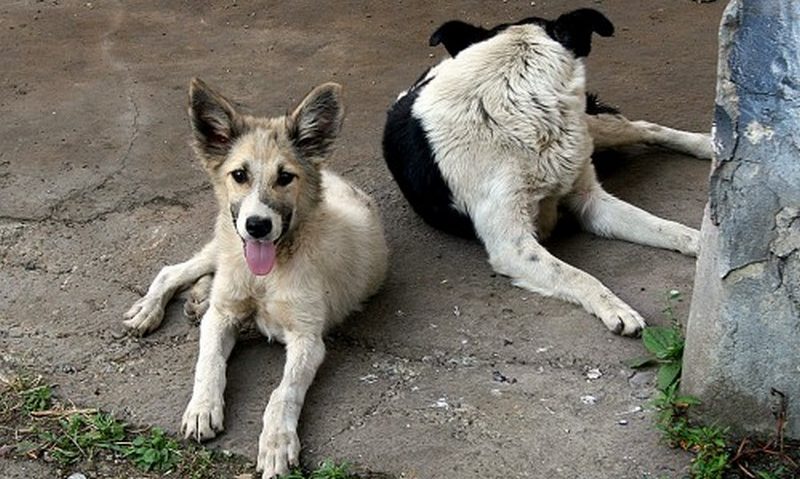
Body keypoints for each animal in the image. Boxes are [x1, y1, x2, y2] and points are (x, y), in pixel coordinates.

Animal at [382, 8, 712, 338]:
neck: (516, 112)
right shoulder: (513, 246)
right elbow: (577, 275)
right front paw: (615, 307)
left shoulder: (590, 200)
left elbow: (665, 226)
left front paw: (702, 242)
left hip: (589, 127)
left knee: (644, 127)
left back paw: (706, 145)